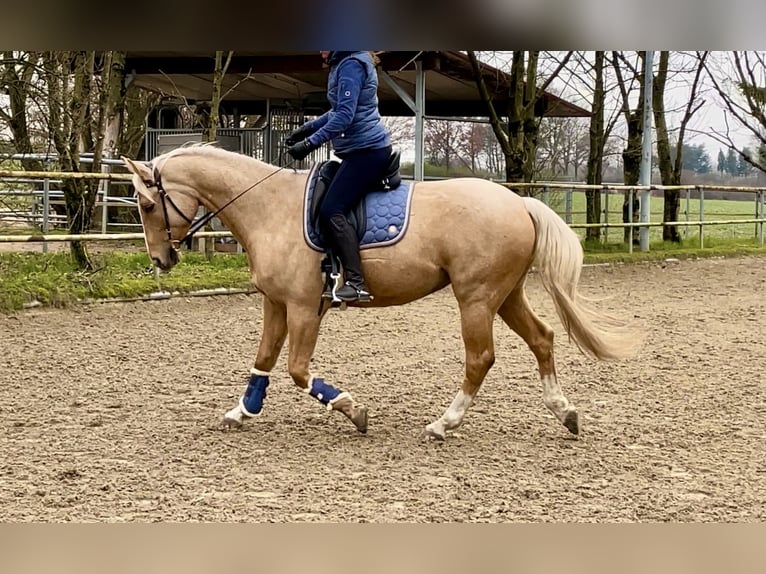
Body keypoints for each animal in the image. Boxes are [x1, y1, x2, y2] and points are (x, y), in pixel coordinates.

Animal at [124, 144, 640, 440]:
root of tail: (519, 201)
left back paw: (443, 424)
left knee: (480, 358)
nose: (160, 260)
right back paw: (564, 413)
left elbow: (297, 370)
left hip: (476, 298)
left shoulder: (304, 307)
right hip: (505, 295)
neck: (269, 208)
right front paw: (241, 412)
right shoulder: (276, 303)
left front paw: (353, 411)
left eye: (147, 204)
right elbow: (264, 360)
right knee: (542, 338)